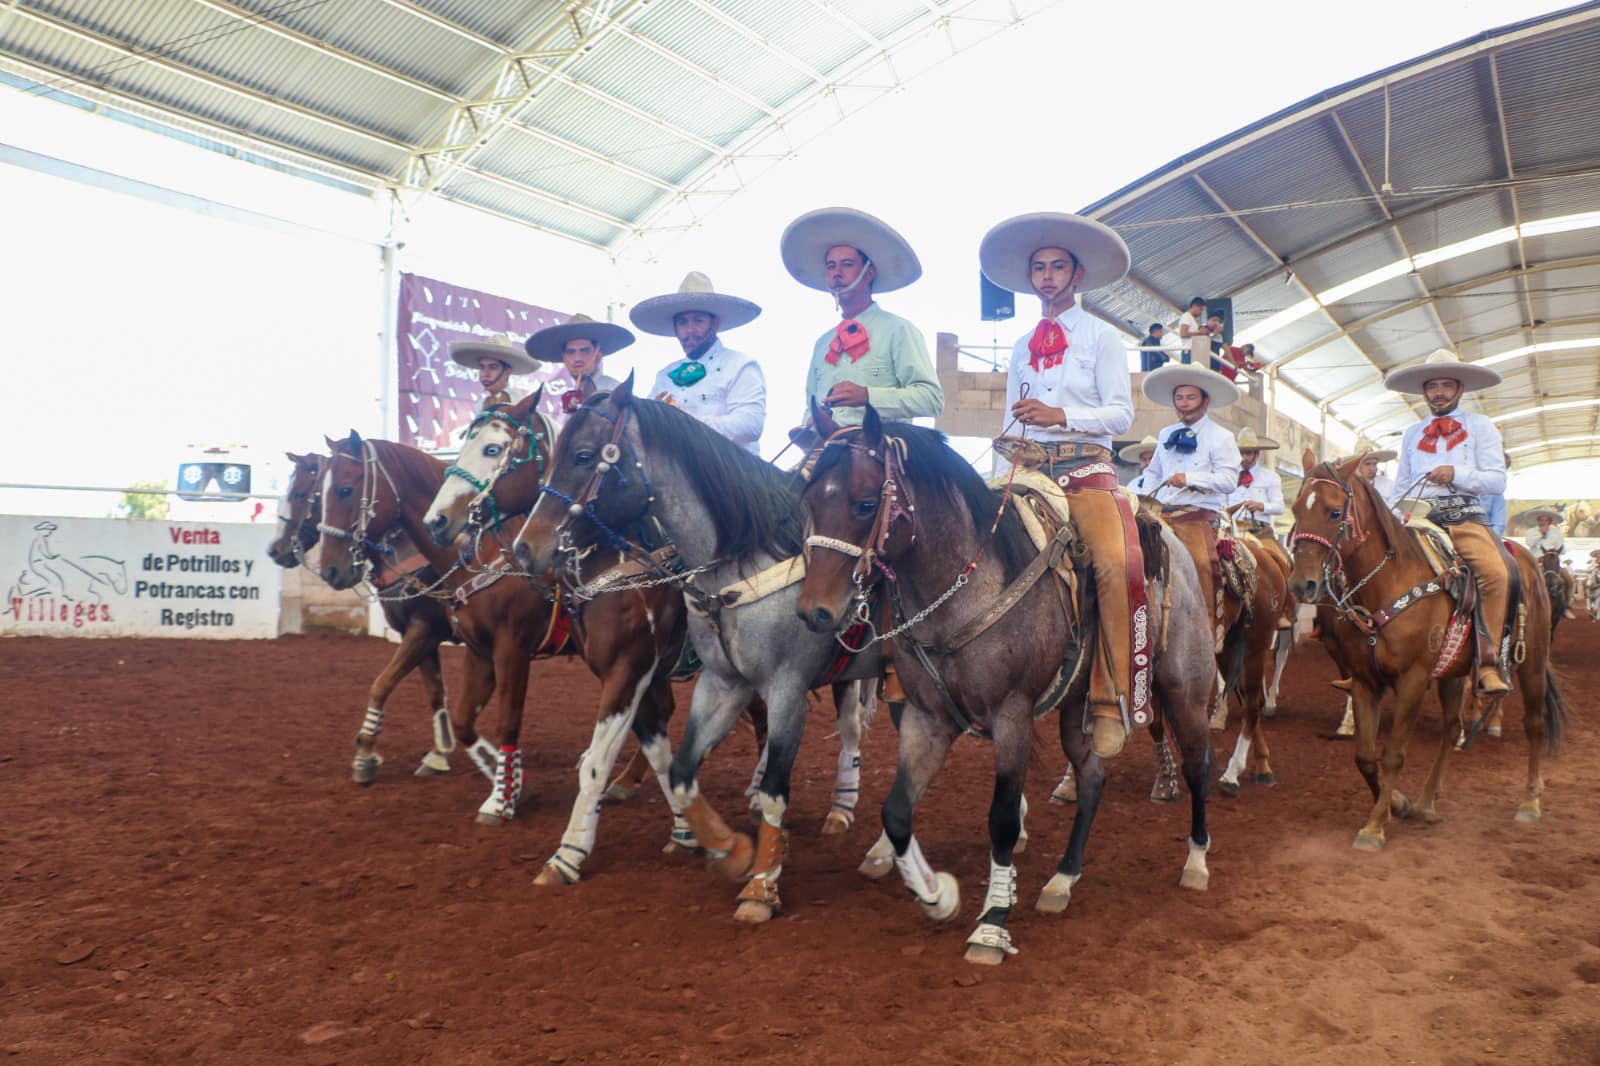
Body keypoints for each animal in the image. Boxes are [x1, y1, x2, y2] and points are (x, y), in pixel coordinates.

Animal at [265, 444, 457, 784]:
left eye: (301, 494)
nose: (274, 550)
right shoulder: (419, 633)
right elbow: (435, 691)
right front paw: (438, 754)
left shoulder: (426, 628)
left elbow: (383, 683)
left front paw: (366, 752)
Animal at [512, 382, 889, 921]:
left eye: (583, 455)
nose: (526, 548)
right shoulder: (706, 681)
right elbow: (673, 765)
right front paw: (723, 847)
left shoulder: (774, 685)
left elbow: (597, 762)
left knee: (857, 732)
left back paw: (850, 818)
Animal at [1280, 451, 1568, 845]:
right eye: (1295, 508)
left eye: (1335, 512)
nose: (1302, 584)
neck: (1388, 582)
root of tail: (1530, 566)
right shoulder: (1366, 681)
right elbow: (1365, 756)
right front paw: (1395, 804)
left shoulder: (1413, 680)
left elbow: (1393, 754)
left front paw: (1374, 827)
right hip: (1453, 673)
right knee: (1450, 729)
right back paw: (1425, 804)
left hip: (1533, 662)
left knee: (1534, 724)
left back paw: (1529, 802)